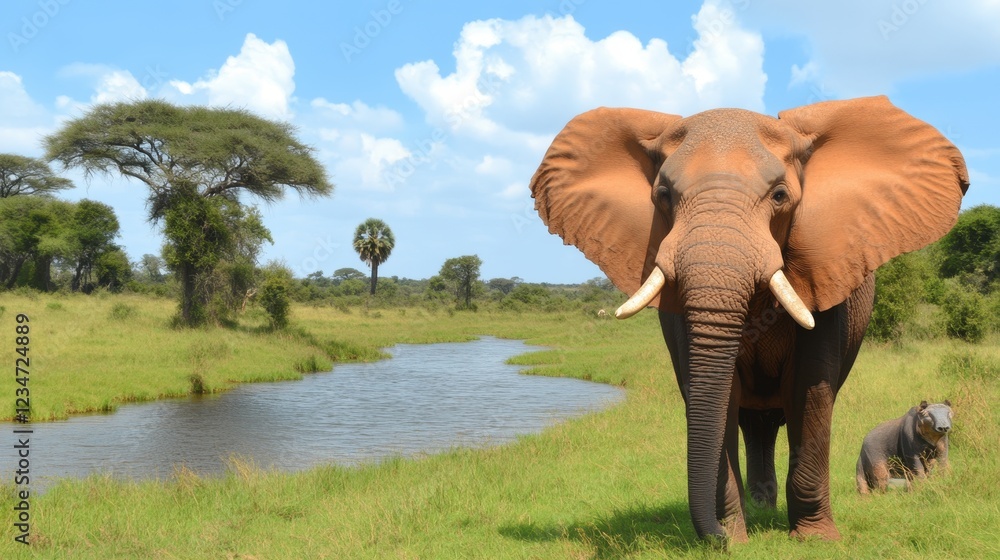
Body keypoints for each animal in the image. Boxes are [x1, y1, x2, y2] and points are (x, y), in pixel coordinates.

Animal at [529, 96, 968, 544]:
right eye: (663, 196)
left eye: (780, 195)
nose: (715, 537)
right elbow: (718, 392)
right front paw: (734, 537)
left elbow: (809, 388)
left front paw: (814, 539)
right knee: (754, 423)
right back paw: (759, 508)